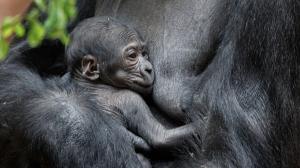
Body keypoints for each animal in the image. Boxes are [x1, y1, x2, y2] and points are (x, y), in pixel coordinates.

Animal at [66, 17, 197, 150]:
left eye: (144, 54)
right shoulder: (130, 99)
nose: (148, 68)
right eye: (132, 55)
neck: (92, 84)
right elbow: (161, 136)